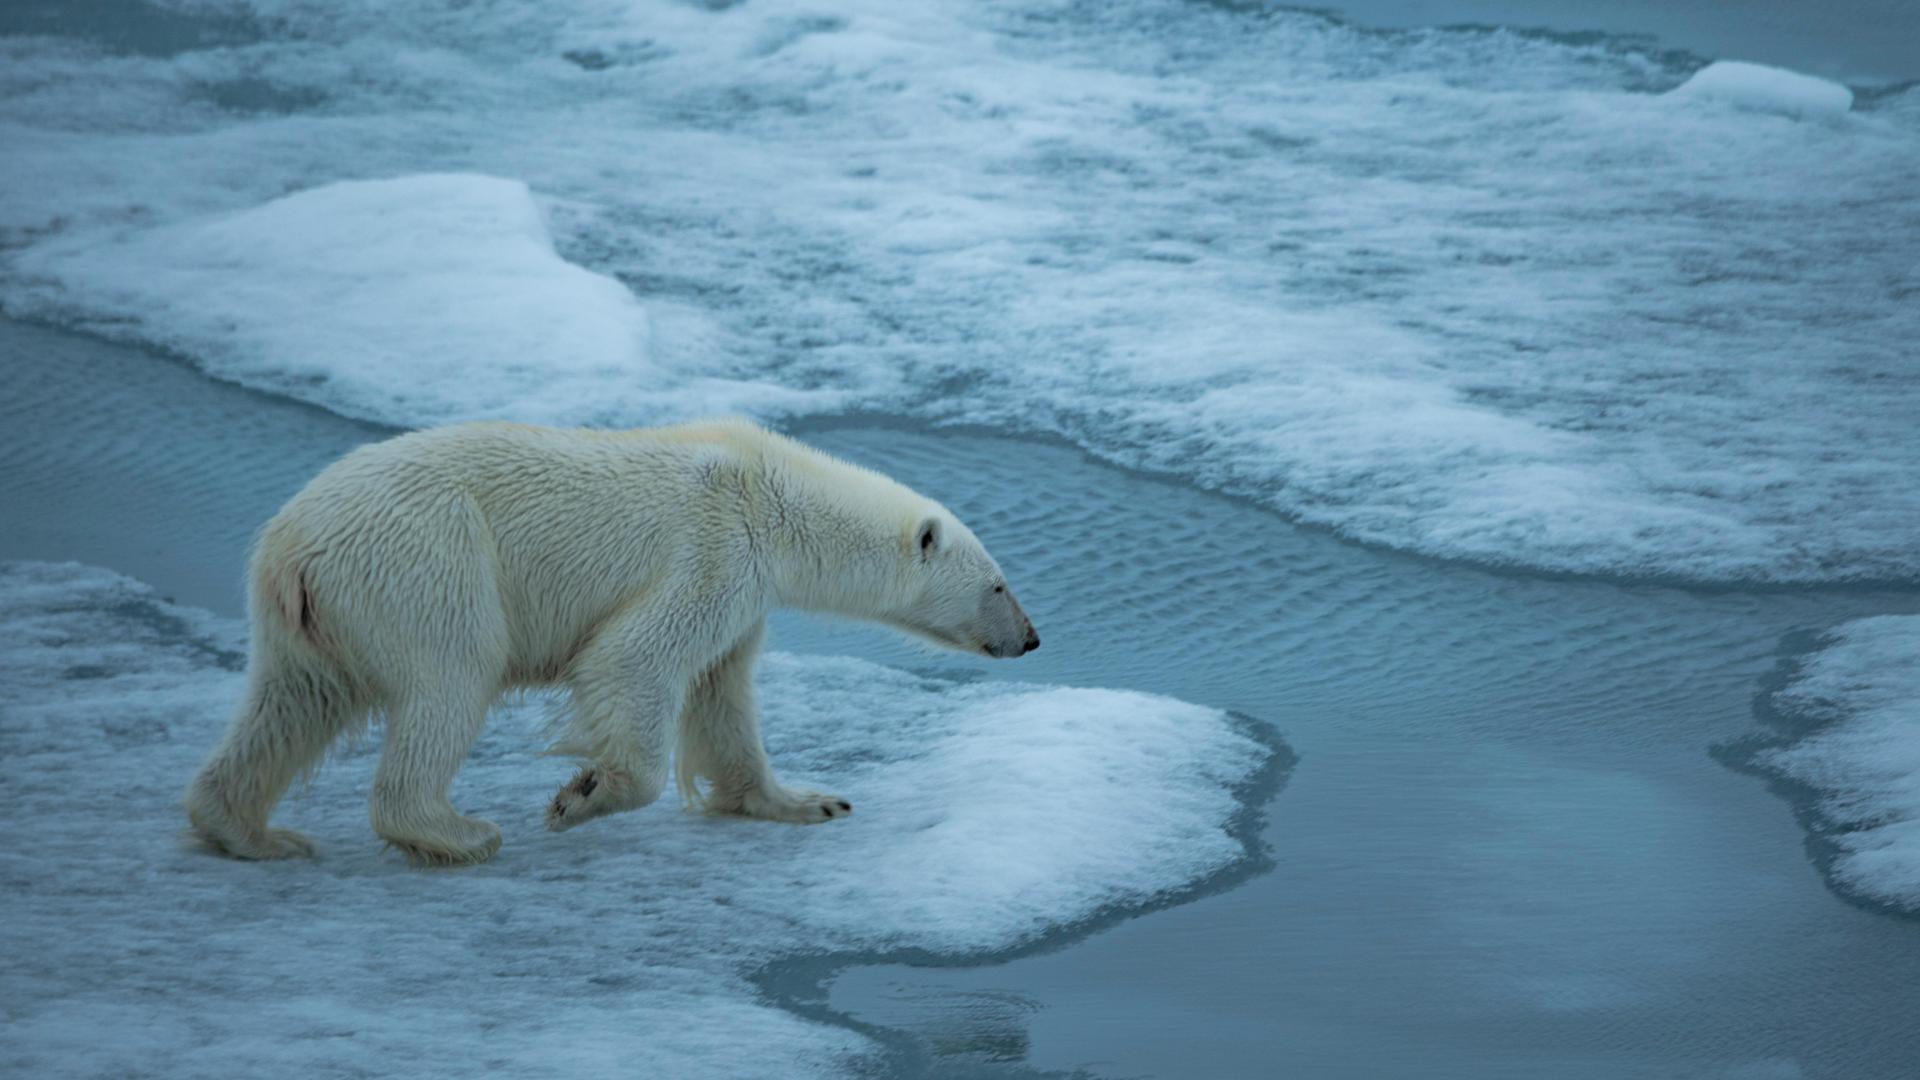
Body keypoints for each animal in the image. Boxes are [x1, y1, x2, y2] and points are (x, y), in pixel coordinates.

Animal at [187, 417, 1044, 860]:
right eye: (999, 584)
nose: (1032, 639)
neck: (767, 492)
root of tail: (291, 546)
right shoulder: (712, 550)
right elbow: (634, 660)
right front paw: (583, 794)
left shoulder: (743, 596)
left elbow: (723, 696)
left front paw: (809, 801)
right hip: (428, 560)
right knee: (451, 676)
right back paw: (457, 832)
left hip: (314, 614)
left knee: (289, 703)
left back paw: (253, 834)